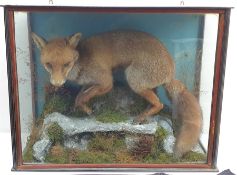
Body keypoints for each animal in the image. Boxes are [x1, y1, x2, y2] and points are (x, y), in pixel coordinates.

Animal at [31, 30, 202, 157]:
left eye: (66, 64)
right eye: (48, 65)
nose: (56, 84)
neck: (80, 63)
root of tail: (171, 71)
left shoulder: (106, 82)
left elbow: (82, 97)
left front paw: (87, 110)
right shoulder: (89, 82)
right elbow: (80, 95)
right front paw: (77, 108)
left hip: (133, 79)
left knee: (159, 104)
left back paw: (140, 117)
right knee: (156, 100)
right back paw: (145, 112)